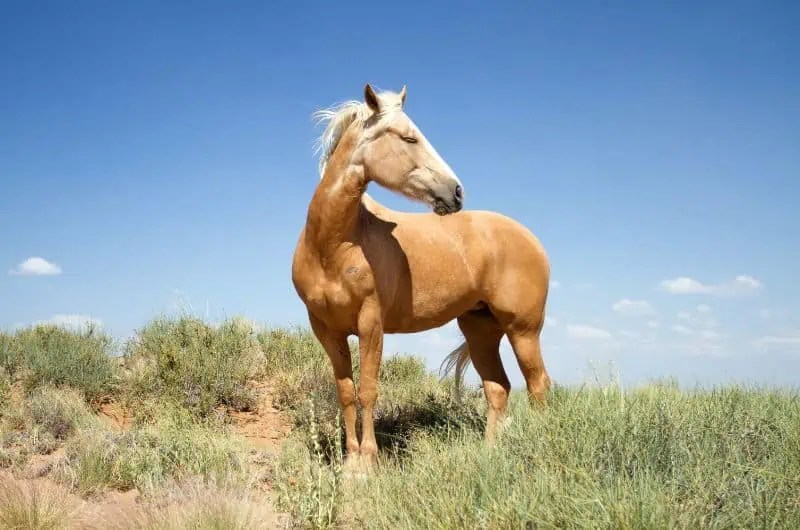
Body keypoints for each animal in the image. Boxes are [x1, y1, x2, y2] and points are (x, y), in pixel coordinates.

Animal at [291, 84, 551, 470]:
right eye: (409, 137)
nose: (456, 191)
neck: (333, 246)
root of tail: (532, 240)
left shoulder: (371, 323)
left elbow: (368, 390)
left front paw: (367, 463)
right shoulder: (326, 329)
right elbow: (346, 392)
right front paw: (350, 460)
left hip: (524, 330)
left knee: (538, 386)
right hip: (481, 330)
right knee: (498, 388)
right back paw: (489, 454)